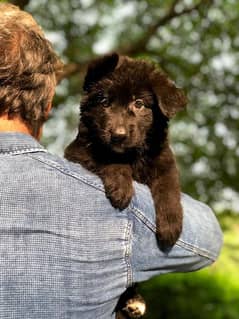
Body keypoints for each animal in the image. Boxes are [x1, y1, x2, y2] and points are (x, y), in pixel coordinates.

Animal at [64, 52, 188, 318]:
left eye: (139, 104)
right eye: (104, 102)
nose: (118, 135)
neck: (133, 155)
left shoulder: (164, 161)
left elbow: (169, 189)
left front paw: (171, 225)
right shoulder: (79, 151)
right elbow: (110, 158)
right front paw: (122, 188)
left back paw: (133, 302)